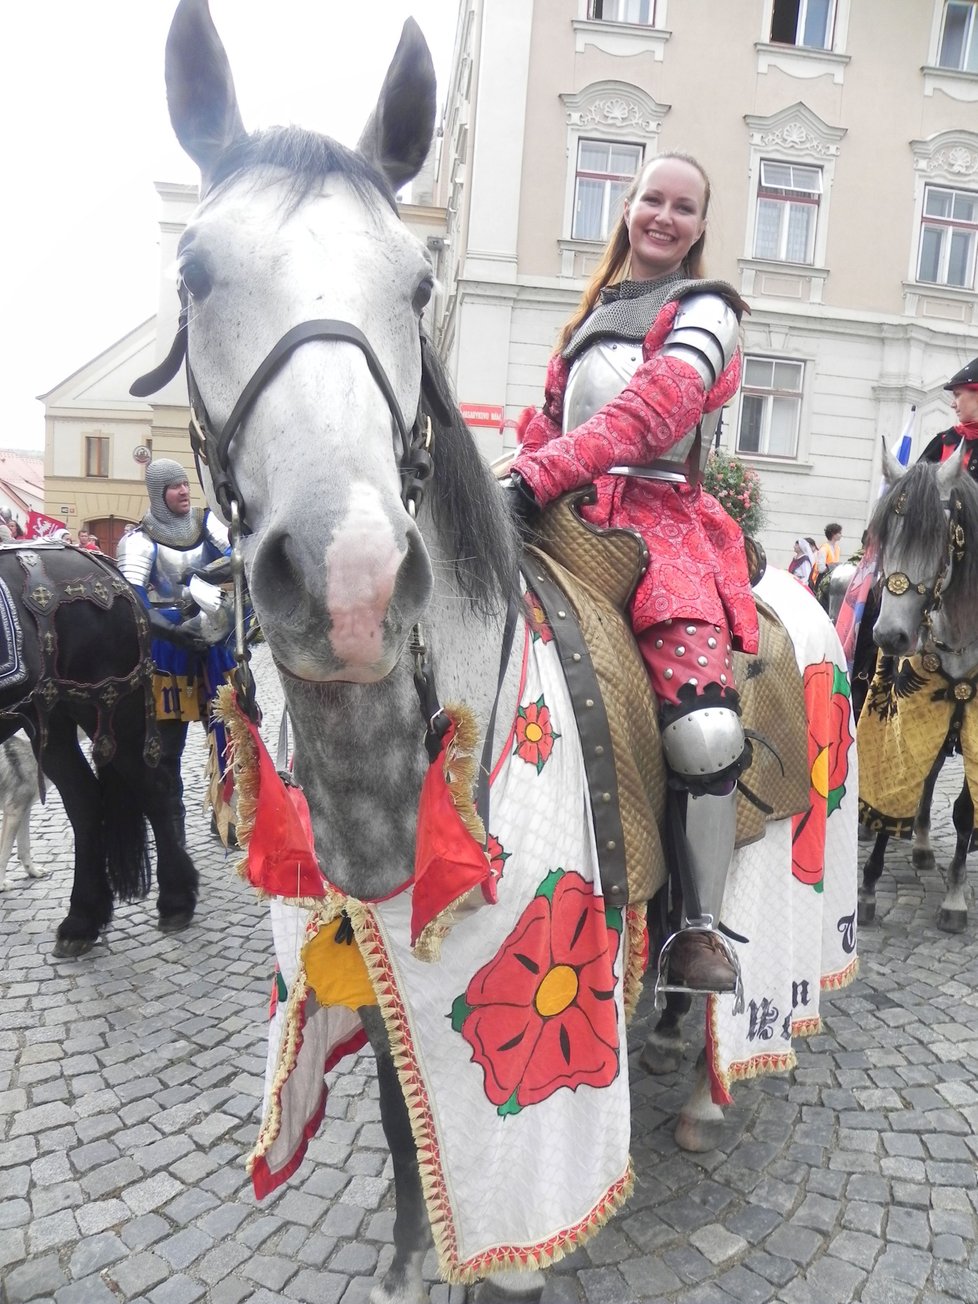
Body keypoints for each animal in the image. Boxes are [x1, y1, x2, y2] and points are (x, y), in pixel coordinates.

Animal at [0, 542, 199, 959]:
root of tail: (101, 563)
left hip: (109, 709)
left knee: (153, 791)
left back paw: (175, 899)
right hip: (51, 718)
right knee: (86, 802)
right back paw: (82, 920)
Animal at [145, 5, 855, 1298]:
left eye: (418, 281)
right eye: (192, 269)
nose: (349, 578)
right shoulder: (363, 959)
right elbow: (397, 1117)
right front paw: (410, 1258)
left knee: (709, 779)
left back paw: (707, 1073)